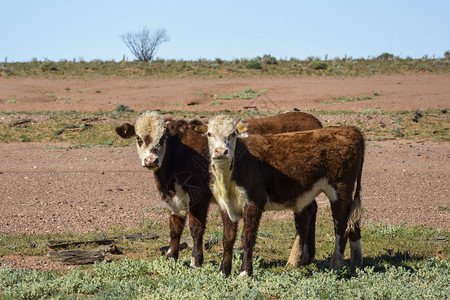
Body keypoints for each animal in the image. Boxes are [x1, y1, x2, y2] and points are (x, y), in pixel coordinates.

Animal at [114, 111, 322, 268]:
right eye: (138, 138)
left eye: (163, 138)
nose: (151, 160)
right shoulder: (174, 197)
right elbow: (175, 228)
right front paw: (171, 257)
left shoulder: (198, 196)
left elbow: (196, 228)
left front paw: (196, 261)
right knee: (311, 210)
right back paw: (307, 255)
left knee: (303, 216)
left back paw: (295, 259)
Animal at [197, 115, 366, 276]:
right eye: (209, 134)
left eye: (233, 134)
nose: (221, 151)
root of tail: (350, 130)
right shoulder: (225, 205)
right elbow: (228, 239)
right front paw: (223, 272)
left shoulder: (254, 204)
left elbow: (247, 239)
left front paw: (244, 272)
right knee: (352, 223)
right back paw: (356, 266)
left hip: (340, 190)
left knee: (341, 226)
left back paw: (335, 266)